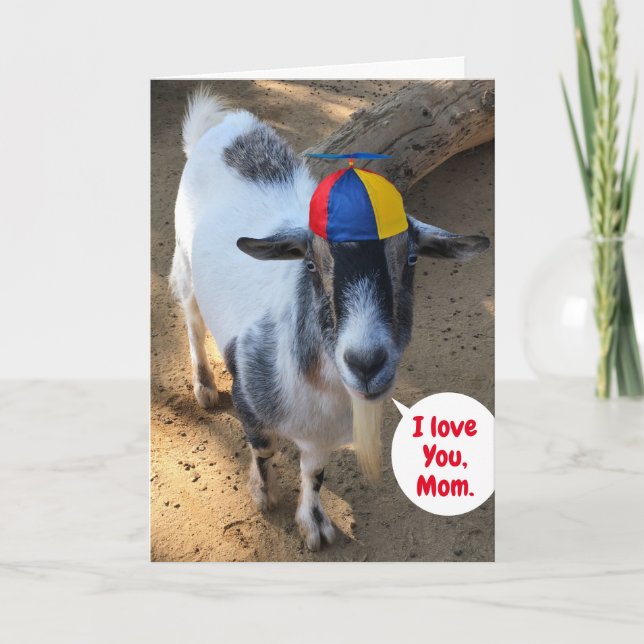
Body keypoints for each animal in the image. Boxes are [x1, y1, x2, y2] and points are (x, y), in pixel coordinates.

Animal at [170, 87, 490, 551]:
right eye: (310, 262)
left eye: (412, 259)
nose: (366, 363)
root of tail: (226, 127)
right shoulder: (249, 398)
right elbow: (263, 450)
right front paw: (264, 495)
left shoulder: (326, 434)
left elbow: (314, 472)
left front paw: (314, 523)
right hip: (184, 259)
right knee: (192, 319)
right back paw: (204, 386)